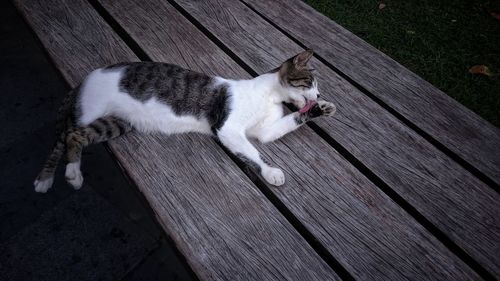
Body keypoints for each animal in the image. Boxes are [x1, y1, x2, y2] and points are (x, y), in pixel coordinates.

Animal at [34, 49, 336, 191]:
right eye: (310, 82)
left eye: (317, 87)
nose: (320, 94)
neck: (269, 96)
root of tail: (86, 78)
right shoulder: (227, 128)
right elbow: (253, 152)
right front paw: (271, 171)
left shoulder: (264, 131)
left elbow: (284, 125)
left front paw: (322, 109)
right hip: (90, 111)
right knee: (65, 136)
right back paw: (65, 174)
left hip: (115, 123)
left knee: (76, 135)